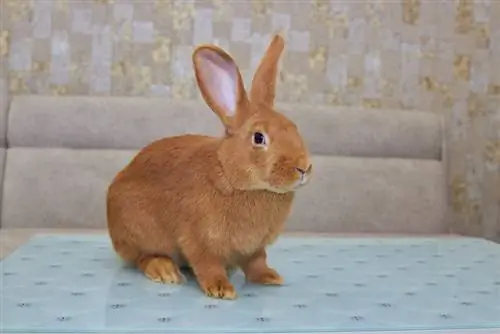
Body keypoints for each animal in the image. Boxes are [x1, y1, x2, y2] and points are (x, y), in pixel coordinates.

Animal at [107, 34, 312, 300]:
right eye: (259, 138)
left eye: (294, 127)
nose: (304, 167)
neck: (233, 178)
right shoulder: (198, 241)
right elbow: (208, 265)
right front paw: (221, 288)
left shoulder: (255, 249)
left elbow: (257, 262)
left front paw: (269, 277)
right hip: (137, 231)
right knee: (141, 257)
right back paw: (164, 270)